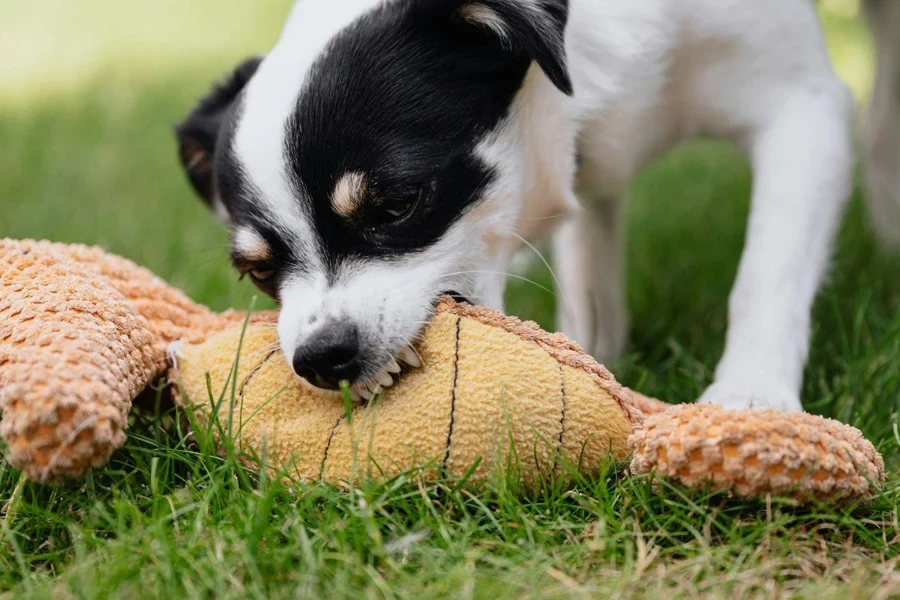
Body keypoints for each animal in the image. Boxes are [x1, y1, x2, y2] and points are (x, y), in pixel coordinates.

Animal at [174, 0, 892, 408]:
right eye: (258, 271)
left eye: (397, 204)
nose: (320, 357)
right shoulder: (583, 164)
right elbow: (589, 273)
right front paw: (594, 358)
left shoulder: (803, 106)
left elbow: (768, 273)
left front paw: (752, 394)